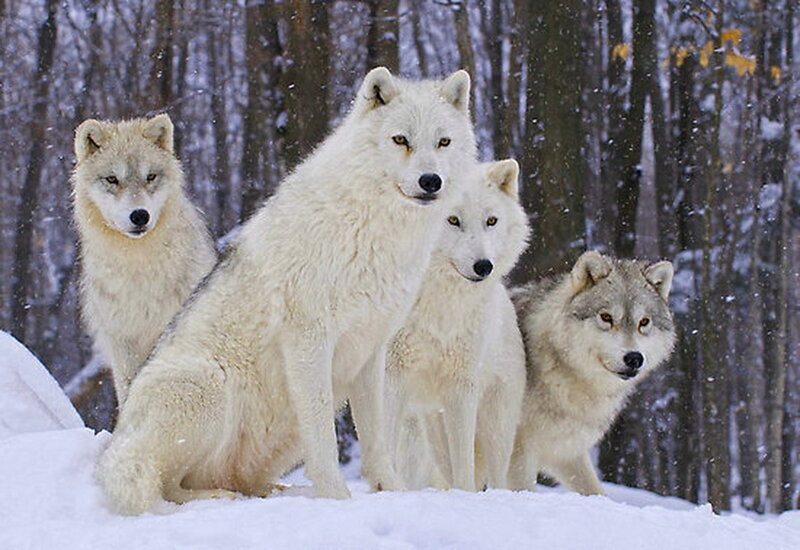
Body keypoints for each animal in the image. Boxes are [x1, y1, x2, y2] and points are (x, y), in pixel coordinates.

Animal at [96, 67, 477, 514]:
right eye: (401, 140)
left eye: (443, 142)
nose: (430, 181)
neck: (372, 228)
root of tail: (116, 443)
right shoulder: (309, 340)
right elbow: (324, 440)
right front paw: (337, 499)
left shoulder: (371, 348)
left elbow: (377, 439)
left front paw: (392, 491)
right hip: (208, 385)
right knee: (165, 483)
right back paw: (218, 497)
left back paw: (271, 491)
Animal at [387, 159, 529, 491]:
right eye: (452, 220)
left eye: (491, 221)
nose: (484, 266)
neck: (438, 303)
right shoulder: (391, 376)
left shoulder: (462, 386)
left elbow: (464, 464)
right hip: (426, 431)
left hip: (494, 426)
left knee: (495, 476)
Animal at [508, 251, 676, 495]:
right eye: (606, 317)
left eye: (644, 322)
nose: (634, 358)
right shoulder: (517, 450)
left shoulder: (566, 452)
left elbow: (595, 491)